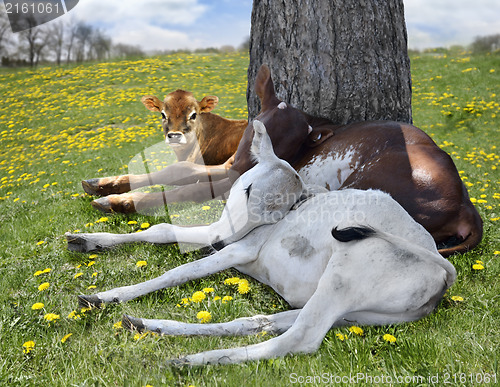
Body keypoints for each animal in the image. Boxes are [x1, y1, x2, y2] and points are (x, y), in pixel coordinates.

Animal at [67, 121, 458, 366]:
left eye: (276, 214)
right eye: (247, 188)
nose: (219, 241)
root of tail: (442, 269)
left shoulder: (239, 248)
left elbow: (180, 271)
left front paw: (105, 296)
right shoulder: (217, 229)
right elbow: (161, 229)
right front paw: (87, 239)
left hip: (348, 269)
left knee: (298, 339)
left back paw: (194, 360)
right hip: (355, 313)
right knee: (258, 322)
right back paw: (151, 327)